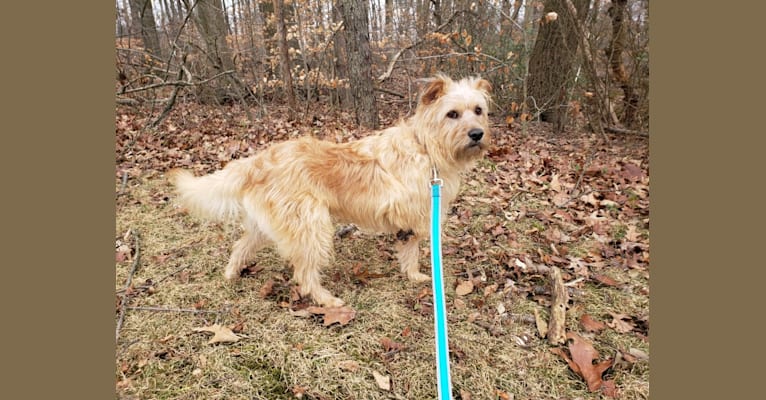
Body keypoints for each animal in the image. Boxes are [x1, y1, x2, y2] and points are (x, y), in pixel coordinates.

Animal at [170, 74, 492, 306]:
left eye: (478, 111)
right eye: (452, 114)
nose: (477, 134)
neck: (425, 146)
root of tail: (257, 162)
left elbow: (407, 250)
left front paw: (412, 276)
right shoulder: (415, 215)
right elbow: (411, 250)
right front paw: (415, 275)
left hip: (268, 227)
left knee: (240, 247)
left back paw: (231, 274)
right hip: (310, 226)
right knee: (304, 273)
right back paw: (326, 300)